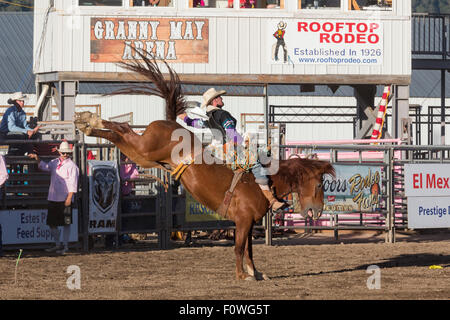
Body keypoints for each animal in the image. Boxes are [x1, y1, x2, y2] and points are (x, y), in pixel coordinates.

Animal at [74, 55, 334, 280]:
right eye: (320, 185)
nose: (318, 211)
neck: (266, 183)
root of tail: (169, 122)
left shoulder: (248, 223)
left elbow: (249, 250)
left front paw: (256, 273)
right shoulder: (242, 221)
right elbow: (239, 248)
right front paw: (242, 275)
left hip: (143, 155)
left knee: (120, 134)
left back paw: (87, 123)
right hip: (145, 148)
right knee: (124, 128)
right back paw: (89, 120)